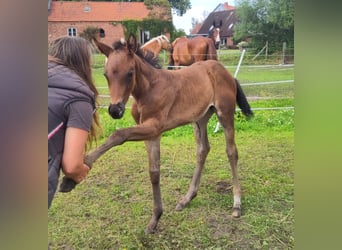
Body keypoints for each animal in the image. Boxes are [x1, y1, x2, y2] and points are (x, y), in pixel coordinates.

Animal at [84, 34, 252, 233]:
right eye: (106, 74)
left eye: (130, 73)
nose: (115, 110)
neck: (148, 90)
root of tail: (226, 72)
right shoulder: (150, 133)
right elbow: (154, 172)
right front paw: (155, 219)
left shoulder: (154, 127)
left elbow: (118, 134)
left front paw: (82, 165)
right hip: (200, 119)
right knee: (203, 149)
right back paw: (187, 198)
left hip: (225, 114)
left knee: (231, 152)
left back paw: (237, 204)